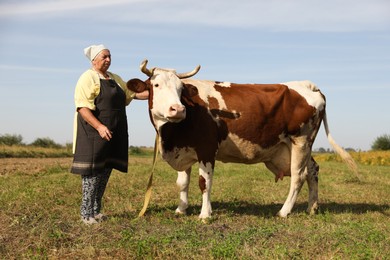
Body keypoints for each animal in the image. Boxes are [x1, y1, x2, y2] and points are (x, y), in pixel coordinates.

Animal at [127, 59, 356, 219]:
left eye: (181, 89)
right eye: (156, 85)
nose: (178, 109)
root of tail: (308, 85)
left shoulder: (206, 149)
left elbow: (204, 182)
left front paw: (205, 214)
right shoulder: (184, 150)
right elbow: (182, 183)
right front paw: (181, 209)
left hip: (301, 140)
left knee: (299, 176)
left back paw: (284, 212)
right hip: (294, 147)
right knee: (312, 170)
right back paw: (312, 207)